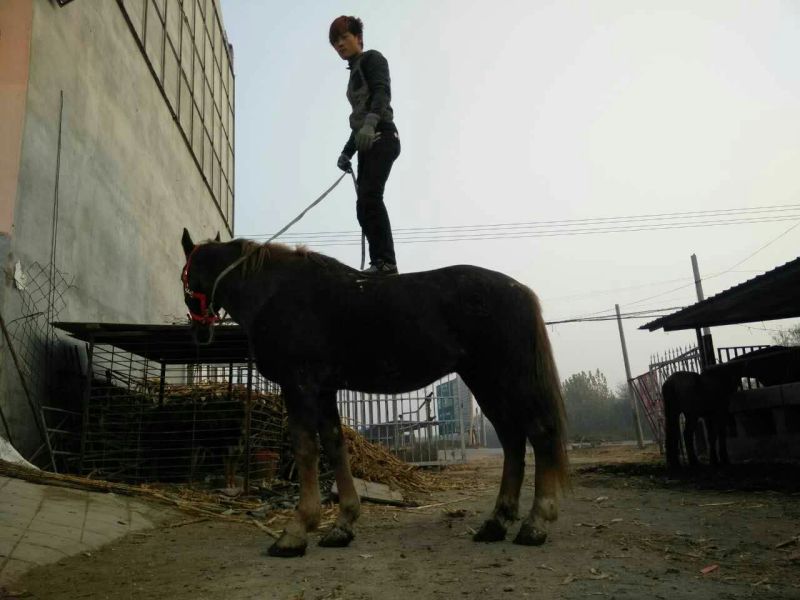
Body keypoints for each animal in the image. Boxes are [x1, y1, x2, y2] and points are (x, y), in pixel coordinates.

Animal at [180, 229, 568, 557]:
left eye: (185, 277)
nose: (198, 334)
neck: (275, 290)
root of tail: (519, 290)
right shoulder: (324, 390)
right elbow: (335, 446)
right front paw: (342, 525)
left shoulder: (299, 385)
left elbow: (306, 450)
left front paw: (295, 531)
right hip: (485, 382)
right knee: (512, 441)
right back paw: (496, 523)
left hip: (509, 378)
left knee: (540, 434)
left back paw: (536, 523)